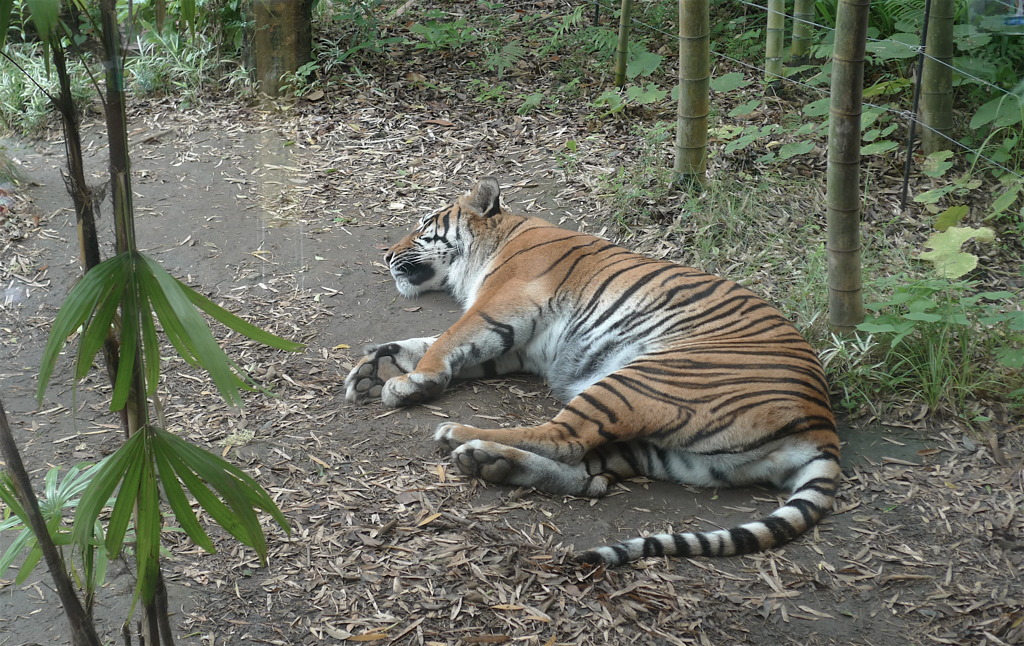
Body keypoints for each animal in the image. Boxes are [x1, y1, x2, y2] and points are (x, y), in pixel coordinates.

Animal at [344, 177, 839, 565]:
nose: (386, 255)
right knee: (590, 476)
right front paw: (374, 367)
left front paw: (410, 381)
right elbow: (434, 345)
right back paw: (491, 462)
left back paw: (463, 438)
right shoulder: (520, 348)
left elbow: (447, 339)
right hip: (674, 452)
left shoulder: (504, 304)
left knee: (564, 438)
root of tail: (824, 425)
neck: (497, 243)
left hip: (641, 380)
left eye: (424, 226)